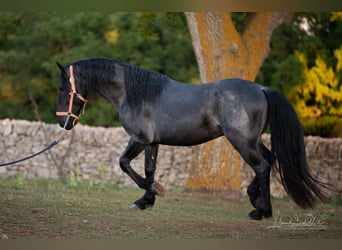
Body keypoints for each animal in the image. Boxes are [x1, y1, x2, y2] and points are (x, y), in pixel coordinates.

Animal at [54, 57, 328, 220]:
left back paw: (262, 211)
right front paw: (146, 200)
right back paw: (254, 198)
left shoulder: (139, 138)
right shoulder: (152, 142)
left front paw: (155, 191)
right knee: (268, 161)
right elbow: (149, 169)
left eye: (64, 88)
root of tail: (261, 89)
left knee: (261, 166)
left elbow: (124, 164)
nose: (63, 122)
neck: (134, 93)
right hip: (253, 141)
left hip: (242, 142)